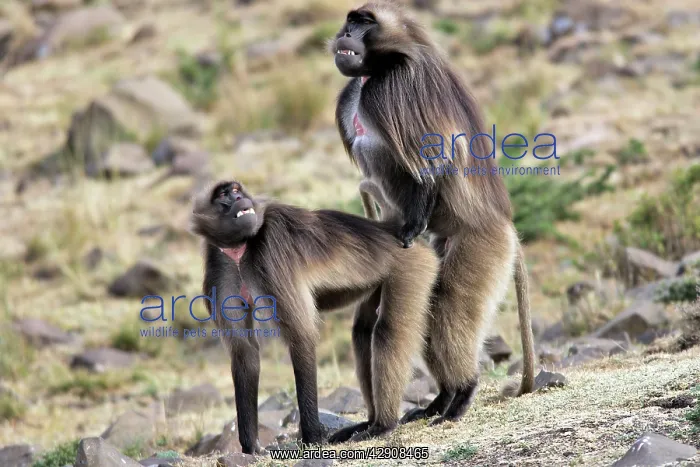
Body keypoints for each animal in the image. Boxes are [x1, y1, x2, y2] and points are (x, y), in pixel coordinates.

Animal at [190, 180, 440, 453]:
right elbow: (244, 351)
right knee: (362, 334)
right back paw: (370, 421)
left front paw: (311, 437)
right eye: (224, 195)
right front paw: (251, 447)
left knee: (388, 331)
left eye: (236, 191)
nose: (237, 199)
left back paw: (383, 425)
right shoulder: (219, 269)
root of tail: (393, 232)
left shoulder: (272, 253)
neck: (240, 249)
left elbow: (301, 337)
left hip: (411, 266)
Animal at [328, 2, 536, 440]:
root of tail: (506, 225)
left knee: (448, 308)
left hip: (480, 245)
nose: (346, 35)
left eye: (363, 23)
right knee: (404, 316)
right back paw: (435, 400)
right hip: (445, 244)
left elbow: (432, 162)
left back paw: (461, 395)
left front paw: (408, 228)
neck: (387, 61)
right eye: (350, 21)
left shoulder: (390, 90)